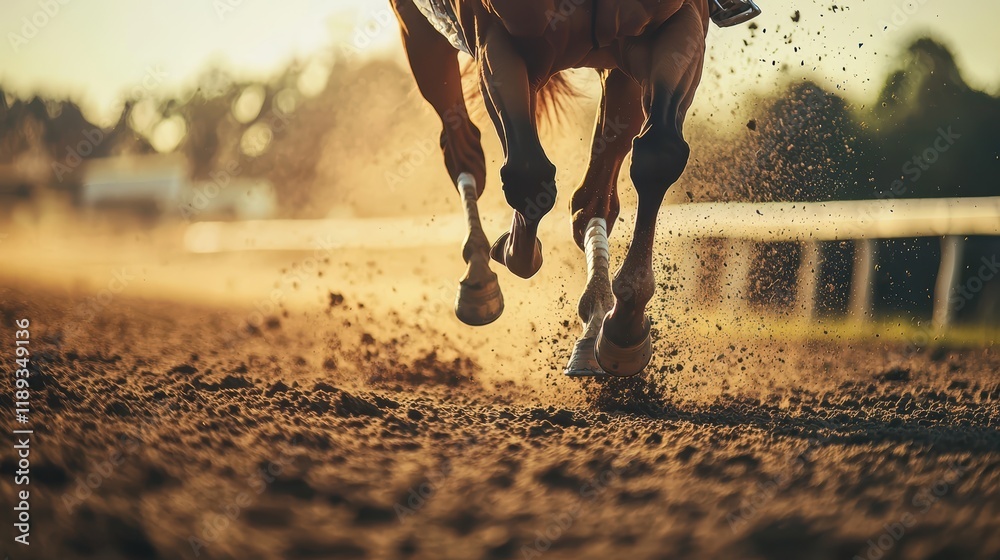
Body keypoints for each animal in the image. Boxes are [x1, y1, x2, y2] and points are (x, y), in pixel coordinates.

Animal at [389, 0, 761, 377]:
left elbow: (658, 155)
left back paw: (595, 316)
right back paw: (479, 277)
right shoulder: (497, 38)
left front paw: (625, 325)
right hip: (421, 36)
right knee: (462, 146)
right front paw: (513, 251)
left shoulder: (673, 27)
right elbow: (528, 175)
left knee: (592, 198)